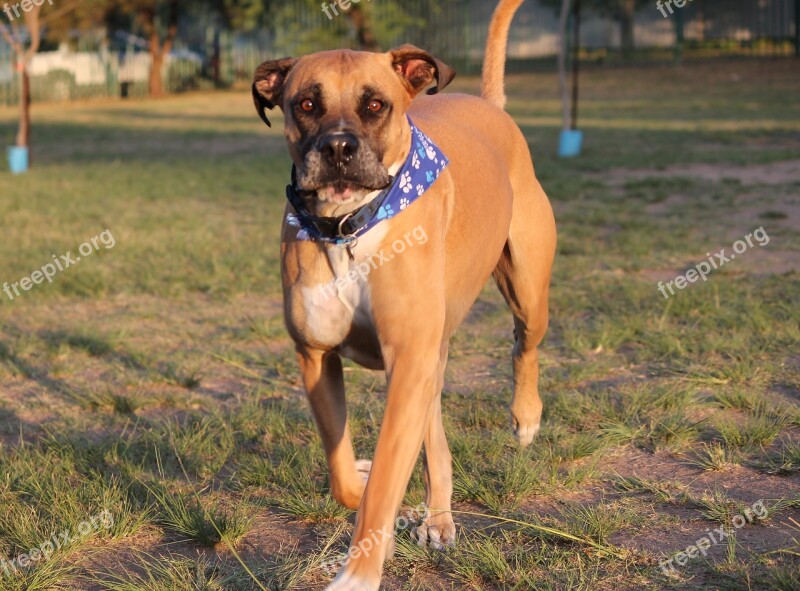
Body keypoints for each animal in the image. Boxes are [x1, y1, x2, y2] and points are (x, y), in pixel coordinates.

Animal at [253, 2, 552, 588]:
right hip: (429, 355)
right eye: (305, 104)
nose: (338, 147)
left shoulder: (406, 359)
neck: (348, 229)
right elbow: (349, 476)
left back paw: (525, 416)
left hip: (527, 289)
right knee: (433, 430)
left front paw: (359, 572)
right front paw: (378, 498)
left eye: (375, 105)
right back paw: (436, 516)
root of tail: (489, 106)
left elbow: (386, 481)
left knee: (522, 343)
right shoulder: (318, 357)